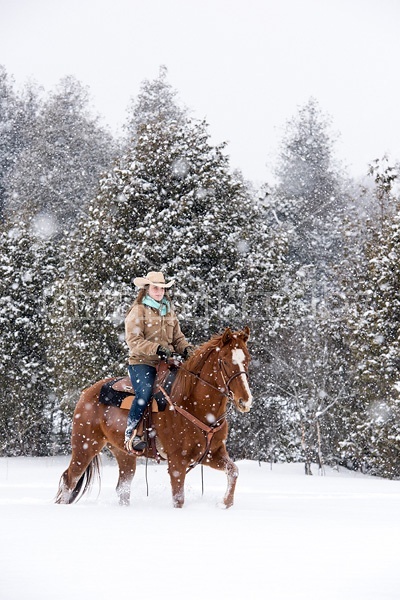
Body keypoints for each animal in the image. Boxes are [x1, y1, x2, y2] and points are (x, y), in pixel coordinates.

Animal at [55, 326, 252, 508]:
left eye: (247, 360)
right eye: (225, 361)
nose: (245, 400)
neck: (193, 404)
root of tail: (86, 392)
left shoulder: (212, 454)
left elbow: (233, 471)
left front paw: (225, 503)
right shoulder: (177, 462)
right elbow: (178, 499)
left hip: (124, 454)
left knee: (122, 489)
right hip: (85, 445)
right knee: (69, 481)